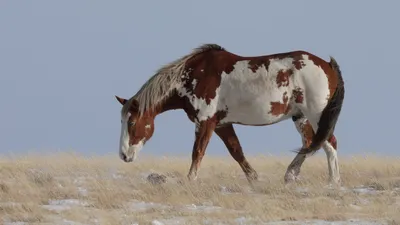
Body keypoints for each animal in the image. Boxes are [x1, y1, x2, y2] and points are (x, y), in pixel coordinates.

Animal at [115, 43, 344, 185]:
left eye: (132, 122)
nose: (124, 155)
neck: (193, 76)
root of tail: (327, 65)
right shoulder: (221, 124)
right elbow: (236, 152)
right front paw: (254, 180)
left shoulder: (206, 122)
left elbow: (198, 152)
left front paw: (190, 181)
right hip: (300, 116)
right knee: (309, 143)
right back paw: (290, 175)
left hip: (316, 115)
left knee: (329, 143)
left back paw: (333, 181)